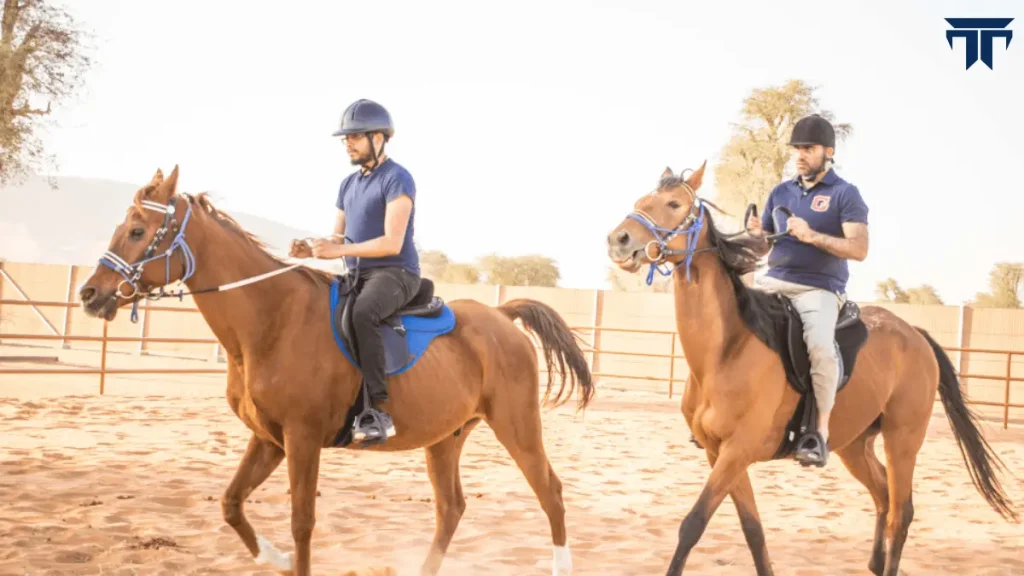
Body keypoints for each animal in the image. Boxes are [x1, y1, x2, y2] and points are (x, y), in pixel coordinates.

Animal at [79, 165, 598, 573]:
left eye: (138, 231)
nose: (89, 294)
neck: (272, 318)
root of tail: (502, 316)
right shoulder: (269, 440)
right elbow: (231, 505)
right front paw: (275, 558)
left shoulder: (302, 438)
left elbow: (302, 522)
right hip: (445, 438)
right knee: (451, 508)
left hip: (517, 426)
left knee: (551, 494)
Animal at [602, 161, 1019, 573]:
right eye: (641, 201)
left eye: (673, 204)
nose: (618, 239)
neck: (727, 349)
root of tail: (914, 335)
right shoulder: (719, 453)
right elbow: (753, 530)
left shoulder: (738, 450)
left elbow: (693, 524)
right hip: (854, 445)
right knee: (883, 497)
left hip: (903, 440)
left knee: (900, 513)